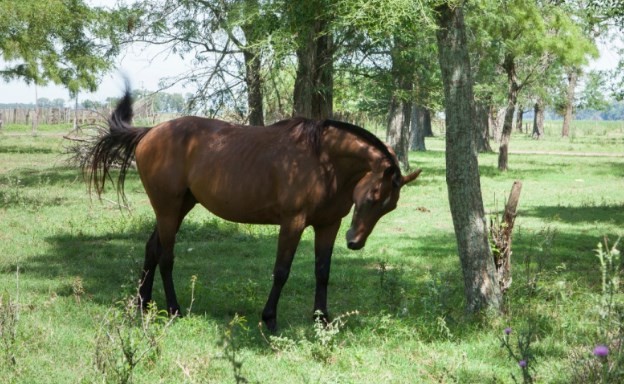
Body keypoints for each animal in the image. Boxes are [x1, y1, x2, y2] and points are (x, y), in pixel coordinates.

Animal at [85, 89, 420, 330]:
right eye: (373, 196)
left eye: (389, 207)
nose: (355, 242)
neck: (323, 161)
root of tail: (149, 132)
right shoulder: (293, 223)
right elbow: (281, 271)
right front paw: (270, 319)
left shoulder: (329, 225)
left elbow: (322, 272)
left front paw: (321, 319)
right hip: (168, 209)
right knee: (166, 257)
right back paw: (174, 309)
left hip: (178, 208)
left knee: (152, 249)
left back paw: (143, 304)